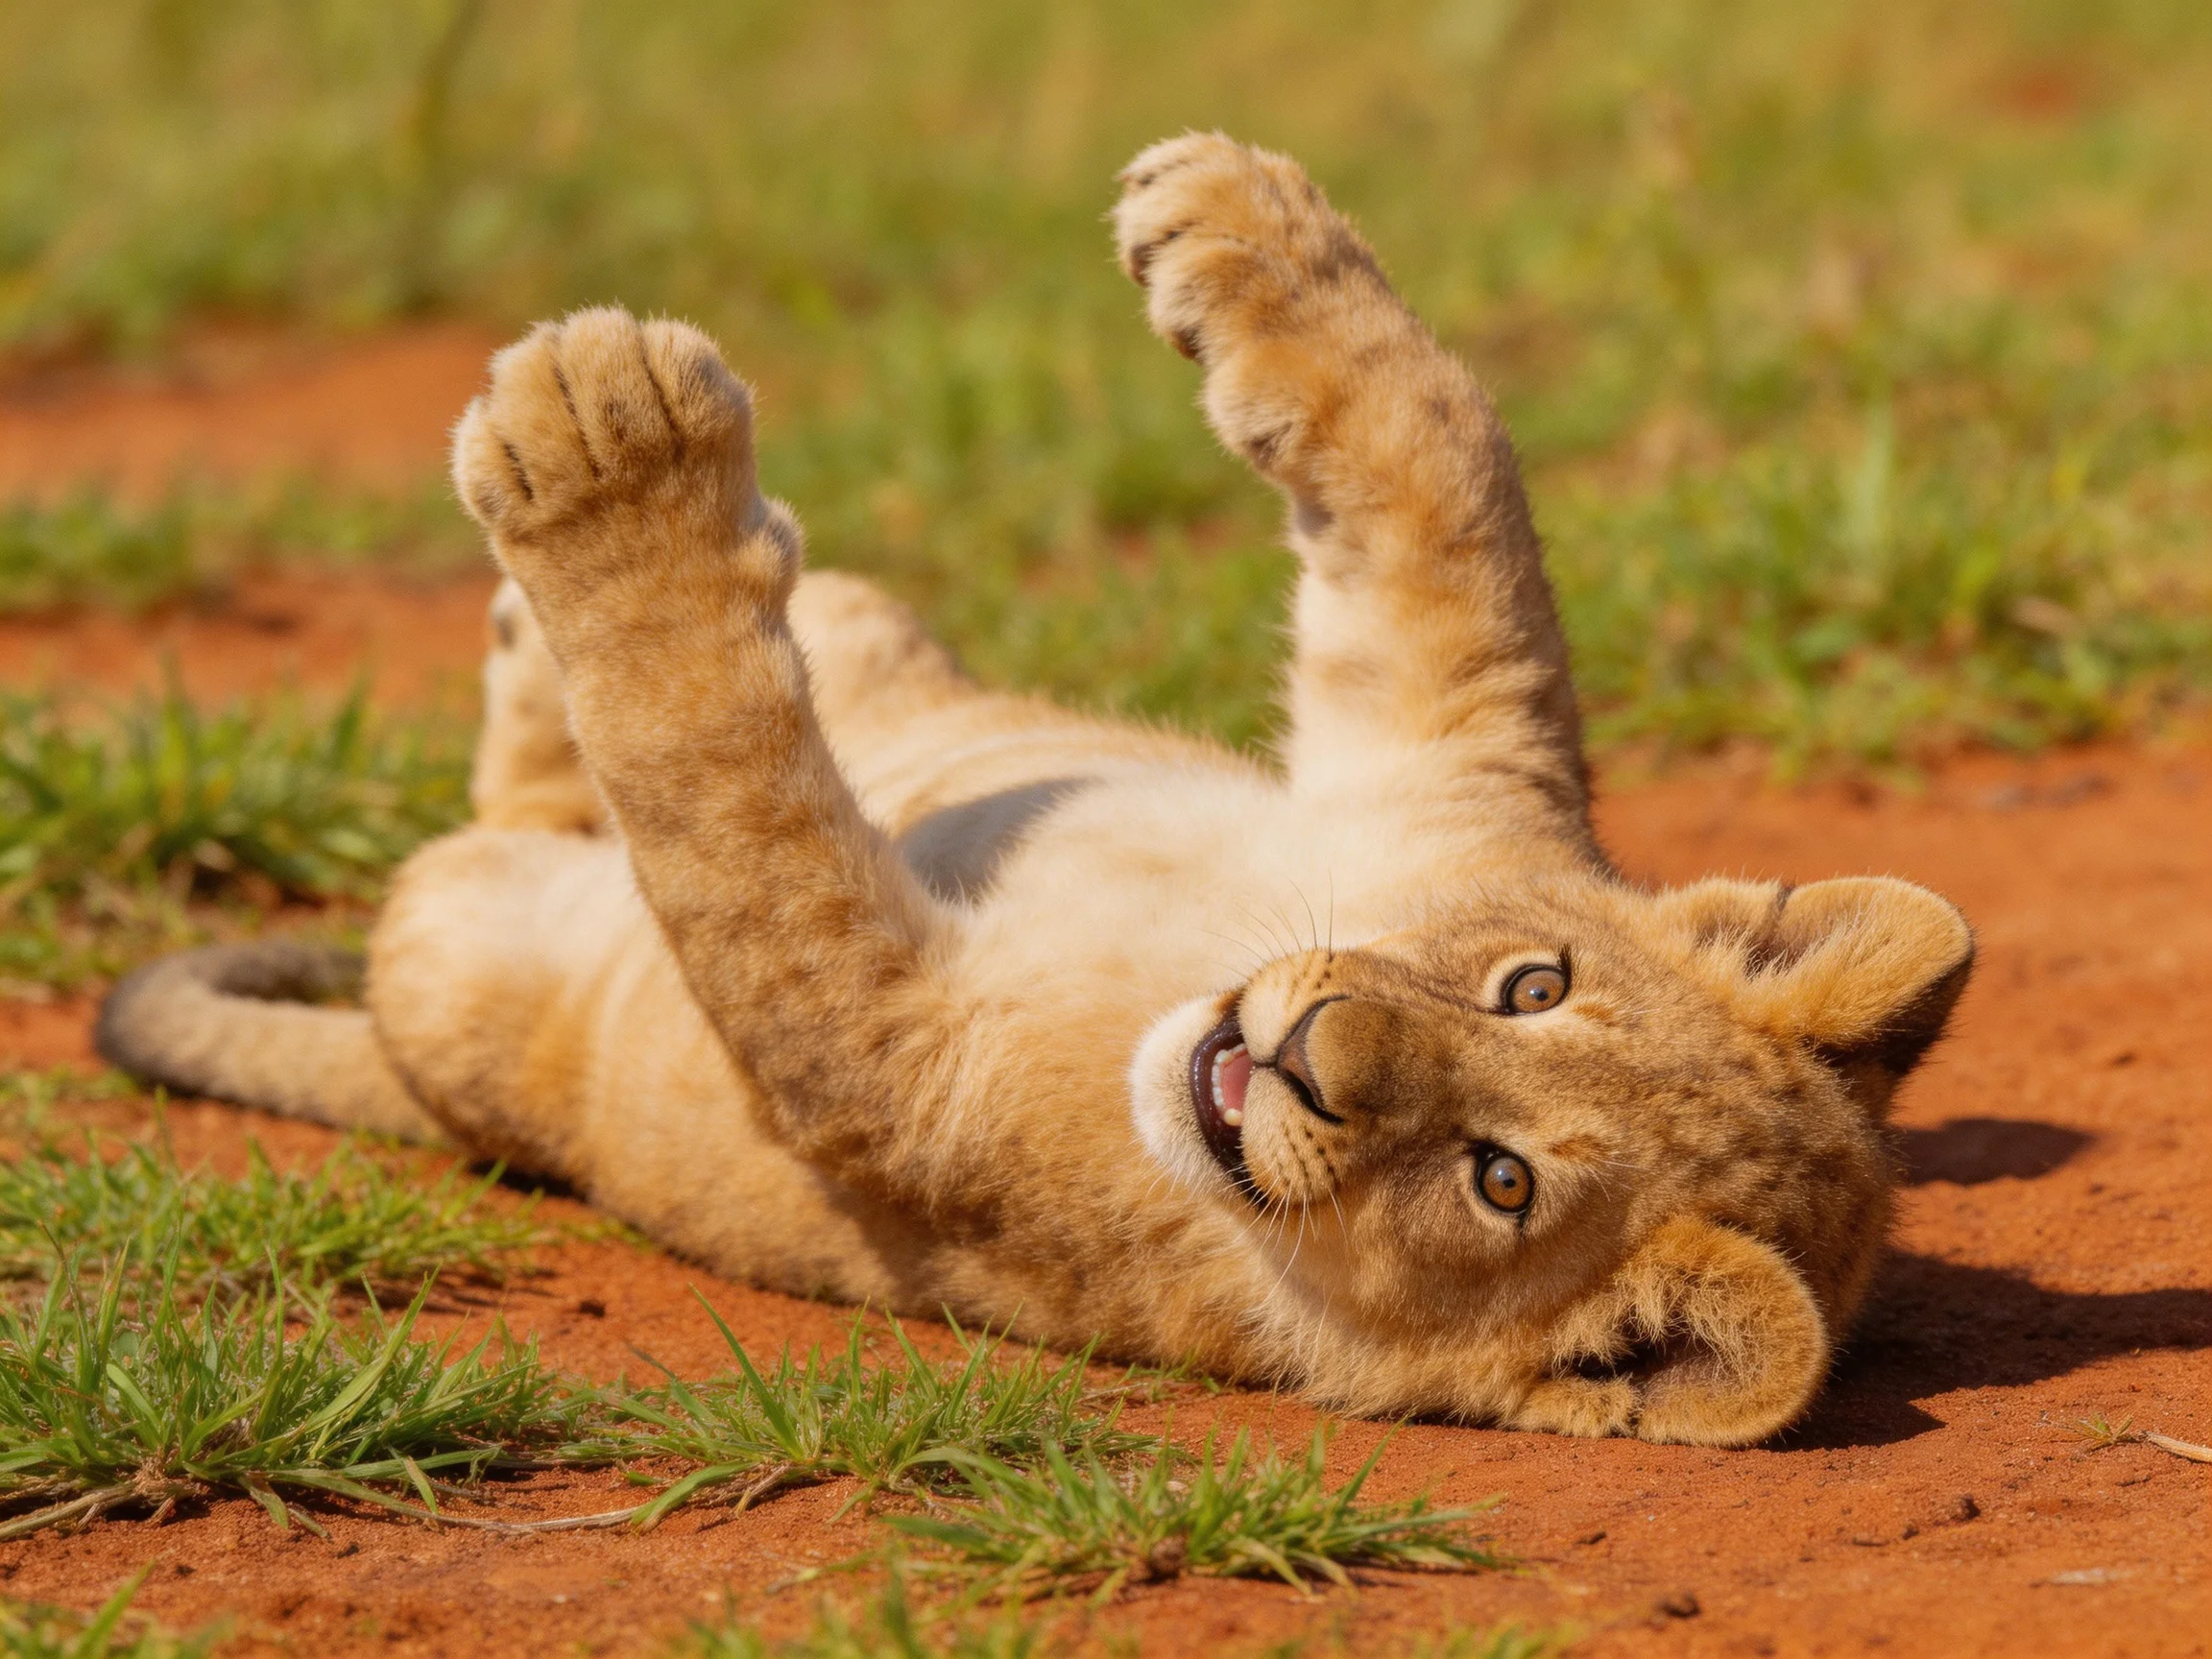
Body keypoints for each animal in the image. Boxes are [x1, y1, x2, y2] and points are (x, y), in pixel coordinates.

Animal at [97, 135, 1973, 1446]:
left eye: (1497, 1183)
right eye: (1530, 982)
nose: (1310, 1046)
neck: (1205, 956)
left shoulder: (897, 1082)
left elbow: (738, 825)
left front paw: (605, 442)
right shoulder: (1453, 730)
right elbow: (1439, 459)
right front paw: (1229, 217)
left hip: (460, 953)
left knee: (517, 837)